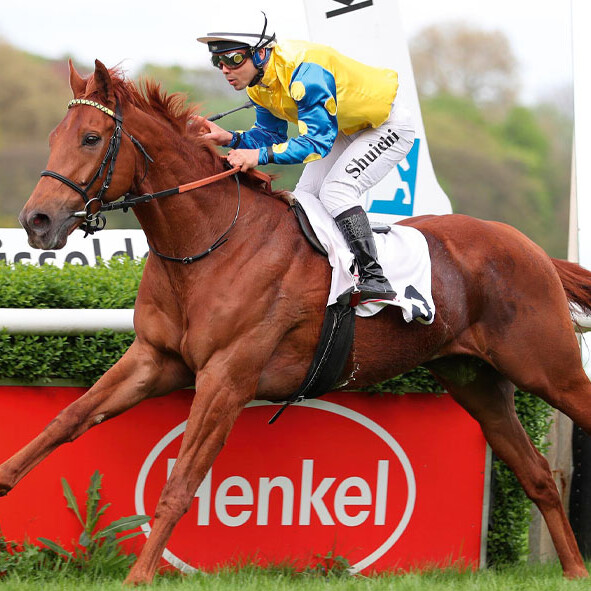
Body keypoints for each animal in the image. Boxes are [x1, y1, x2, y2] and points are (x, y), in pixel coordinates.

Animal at [6, 57, 591, 584]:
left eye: (91, 137)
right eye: (56, 135)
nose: (36, 221)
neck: (211, 242)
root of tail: (533, 250)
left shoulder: (227, 377)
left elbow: (180, 483)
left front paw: (139, 576)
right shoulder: (155, 359)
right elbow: (66, 420)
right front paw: (4, 482)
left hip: (549, 368)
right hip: (476, 381)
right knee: (538, 475)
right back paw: (572, 569)